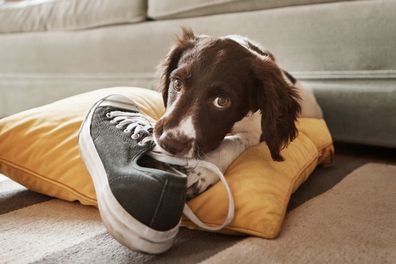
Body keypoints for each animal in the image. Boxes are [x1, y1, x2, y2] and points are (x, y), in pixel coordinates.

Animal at [152, 28, 322, 198]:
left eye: (221, 101)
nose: (170, 143)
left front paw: (203, 171)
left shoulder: (258, 131)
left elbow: (234, 141)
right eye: (177, 83)